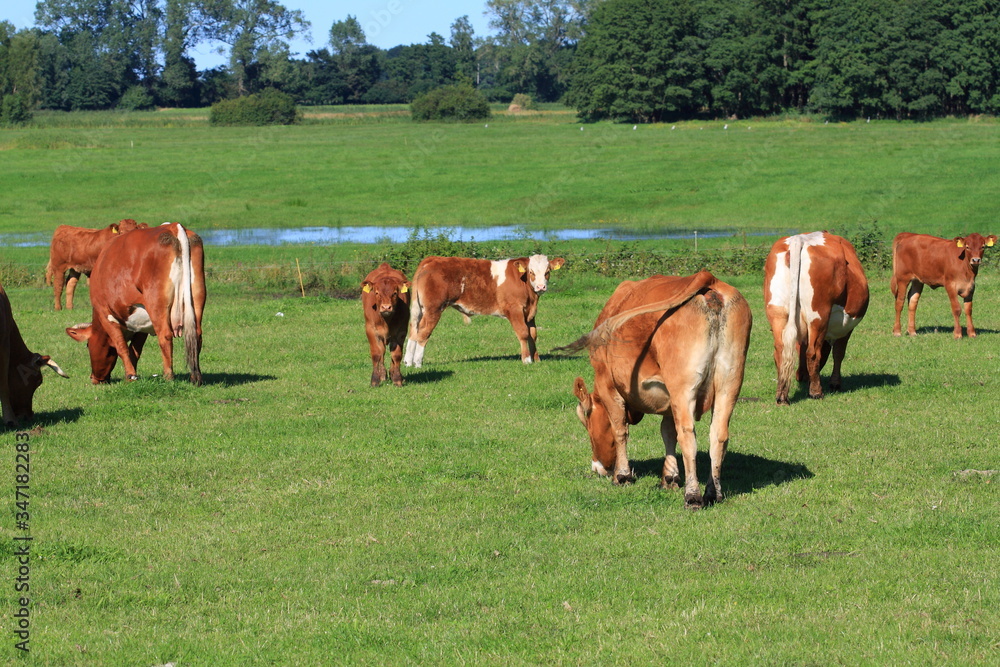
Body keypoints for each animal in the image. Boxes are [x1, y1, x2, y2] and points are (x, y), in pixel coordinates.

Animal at [65, 223, 206, 385]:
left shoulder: (105, 314)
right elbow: (135, 350)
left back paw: (168, 376)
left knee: (165, 336)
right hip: (197, 298)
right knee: (196, 335)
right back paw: (195, 377)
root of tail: (173, 227)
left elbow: (122, 347)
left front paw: (130, 375)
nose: (94, 378)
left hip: (157, 306)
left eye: (88, 345)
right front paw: (132, 374)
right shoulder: (142, 325)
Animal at [404, 254, 565, 367]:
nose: (541, 287)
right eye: (531, 272)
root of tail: (432, 259)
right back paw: (418, 363)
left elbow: (533, 335)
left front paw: (536, 359)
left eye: (547, 272)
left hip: (419, 309)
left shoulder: (530, 313)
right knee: (423, 332)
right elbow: (523, 333)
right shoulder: (515, 309)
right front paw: (526, 360)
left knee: (413, 331)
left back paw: (408, 362)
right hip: (433, 309)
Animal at [558, 271, 752, 509]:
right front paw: (669, 477)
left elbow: (620, 429)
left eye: (587, 422)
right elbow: (667, 432)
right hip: (730, 382)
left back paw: (693, 496)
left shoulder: (607, 384)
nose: (598, 468)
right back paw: (713, 493)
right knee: (718, 435)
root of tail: (709, 279)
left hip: (684, 387)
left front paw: (622, 476)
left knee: (688, 436)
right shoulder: (670, 399)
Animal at [763, 231, 869, 404]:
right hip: (818, 317)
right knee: (813, 353)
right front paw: (835, 383)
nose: (799, 377)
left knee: (780, 350)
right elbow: (839, 353)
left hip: (777, 312)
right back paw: (816, 392)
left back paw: (782, 396)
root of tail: (799, 239)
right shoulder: (846, 328)